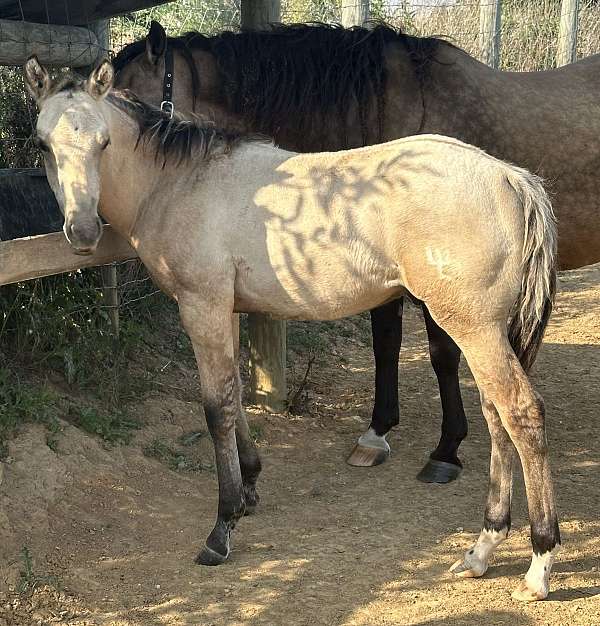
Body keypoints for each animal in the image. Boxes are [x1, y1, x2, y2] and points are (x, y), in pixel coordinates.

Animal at [112, 18, 600, 478]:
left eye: (128, 95)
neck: (380, 107)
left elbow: (441, 354)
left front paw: (446, 450)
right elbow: (386, 342)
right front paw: (377, 433)